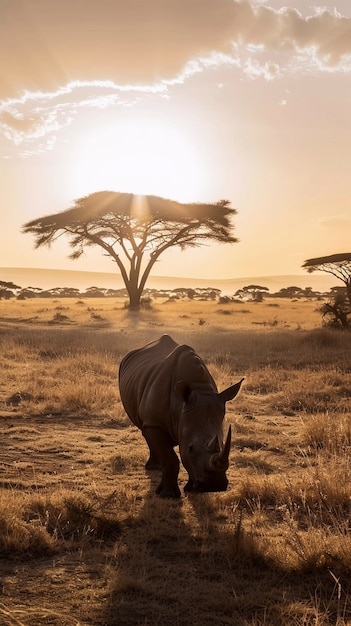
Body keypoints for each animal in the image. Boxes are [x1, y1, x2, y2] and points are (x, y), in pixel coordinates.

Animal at [119, 334, 243, 494]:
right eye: (191, 448)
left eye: (222, 445)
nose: (214, 486)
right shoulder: (155, 423)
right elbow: (171, 459)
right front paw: (168, 495)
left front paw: (190, 489)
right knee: (145, 430)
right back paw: (154, 467)